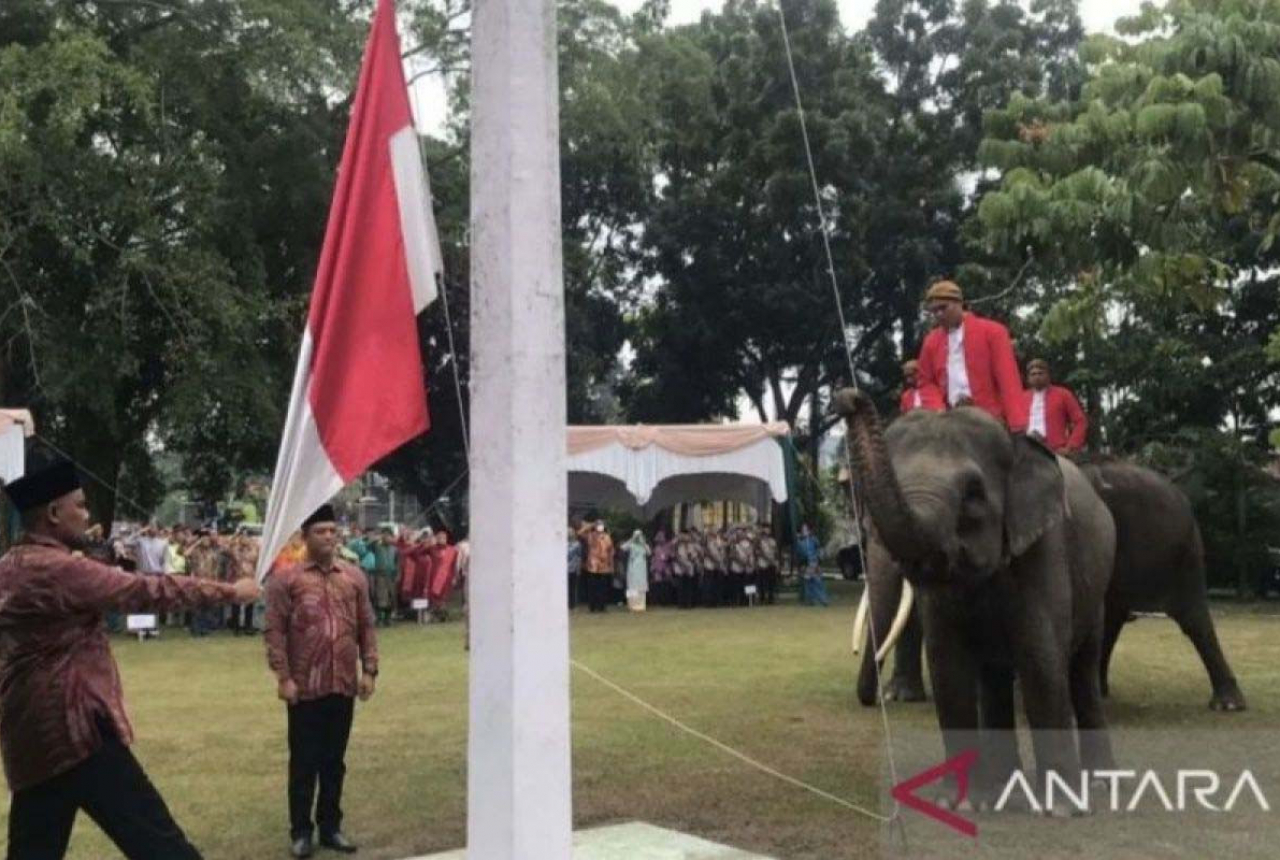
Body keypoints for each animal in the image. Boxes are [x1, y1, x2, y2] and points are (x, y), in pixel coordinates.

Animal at [834, 391, 1116, 808]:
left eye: (972, 493)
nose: (848, 397)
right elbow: (948, 665)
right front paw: (956, 803)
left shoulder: (1044, 549)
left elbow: (1041, 655)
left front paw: (1061, 808)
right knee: (994, 676)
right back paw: (998, 791)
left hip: (1096, 590)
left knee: (1082, 670)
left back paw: (1099, 786)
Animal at [855, 463, 1244, 711]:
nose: (871, 701)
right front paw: (901, 697)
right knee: (1111, 619)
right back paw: (1098, 690)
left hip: (1182, 551)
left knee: (1192, 618)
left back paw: (1227, 704)